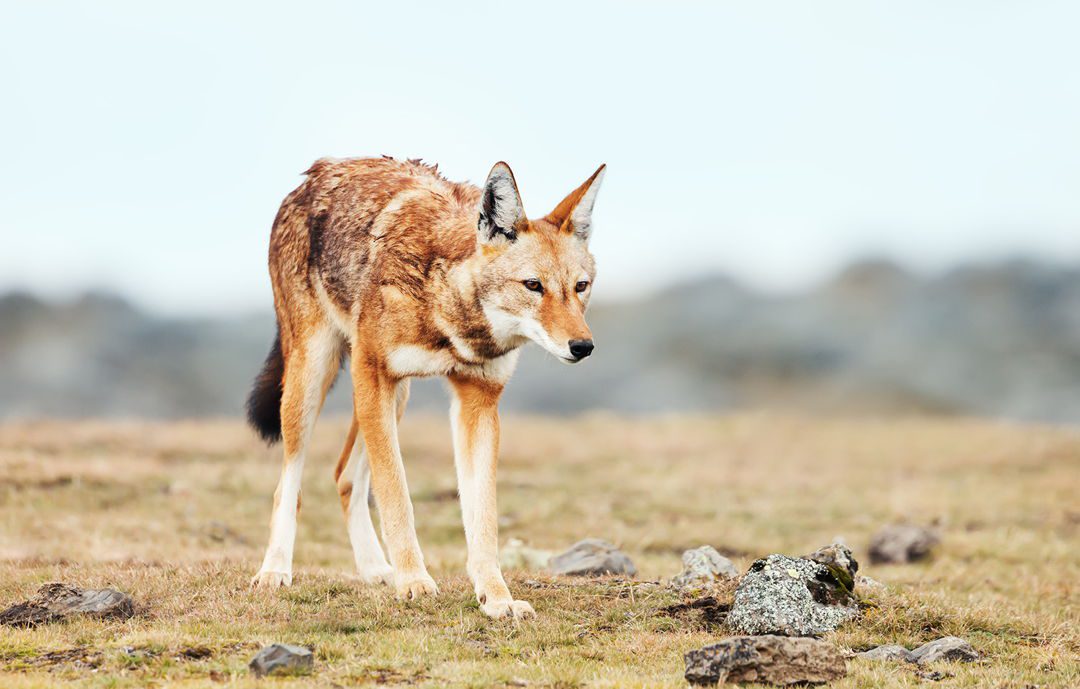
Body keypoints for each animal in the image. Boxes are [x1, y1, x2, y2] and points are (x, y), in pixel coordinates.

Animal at [246, 156, 605, 619]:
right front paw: (415, 582)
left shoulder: (477, 402)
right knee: (289, 483)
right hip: (314, 379)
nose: (583, 346)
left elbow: (482, 518)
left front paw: (497, 598)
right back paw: (275, 571)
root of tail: (315, 173)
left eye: (580, 286)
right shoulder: (373, 373)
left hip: (395, 397)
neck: (448, 310)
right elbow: (397, 495)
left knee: (344, 477)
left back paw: (375, 569)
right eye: (533, 286)